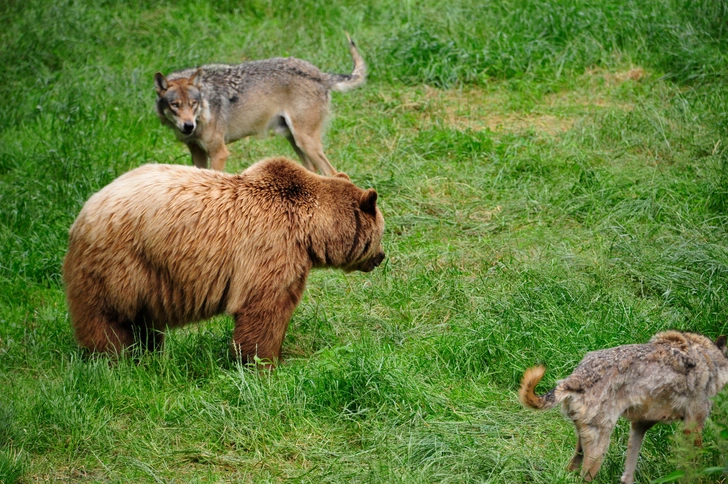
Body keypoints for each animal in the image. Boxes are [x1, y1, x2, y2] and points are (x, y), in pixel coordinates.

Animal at [61, 157, 386, 362]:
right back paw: (113, 359)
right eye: (381, 232)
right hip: (119, 264)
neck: (309, 231)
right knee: (107, 318)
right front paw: (265, 363)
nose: (381, 257)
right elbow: (265, 308)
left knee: (144, 322)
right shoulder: (271, 247)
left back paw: (151, 353)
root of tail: (83, 212)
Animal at [156, 34, 366, 174]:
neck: (205, 106)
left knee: (337, 174)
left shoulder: (219, 153)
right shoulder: (197, 152)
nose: (188, 126)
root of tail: (319, 74)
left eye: (193, 103)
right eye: (175, 105)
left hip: (305, 142)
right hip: (295, 141)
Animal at [516, 330, 728, 484]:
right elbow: (696, 466)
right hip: (599, 451)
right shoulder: (693, 426)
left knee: (569, 471)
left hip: (583, 446)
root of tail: (574, 378)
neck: (709, 359)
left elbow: (628, 473)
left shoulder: (640, 425)